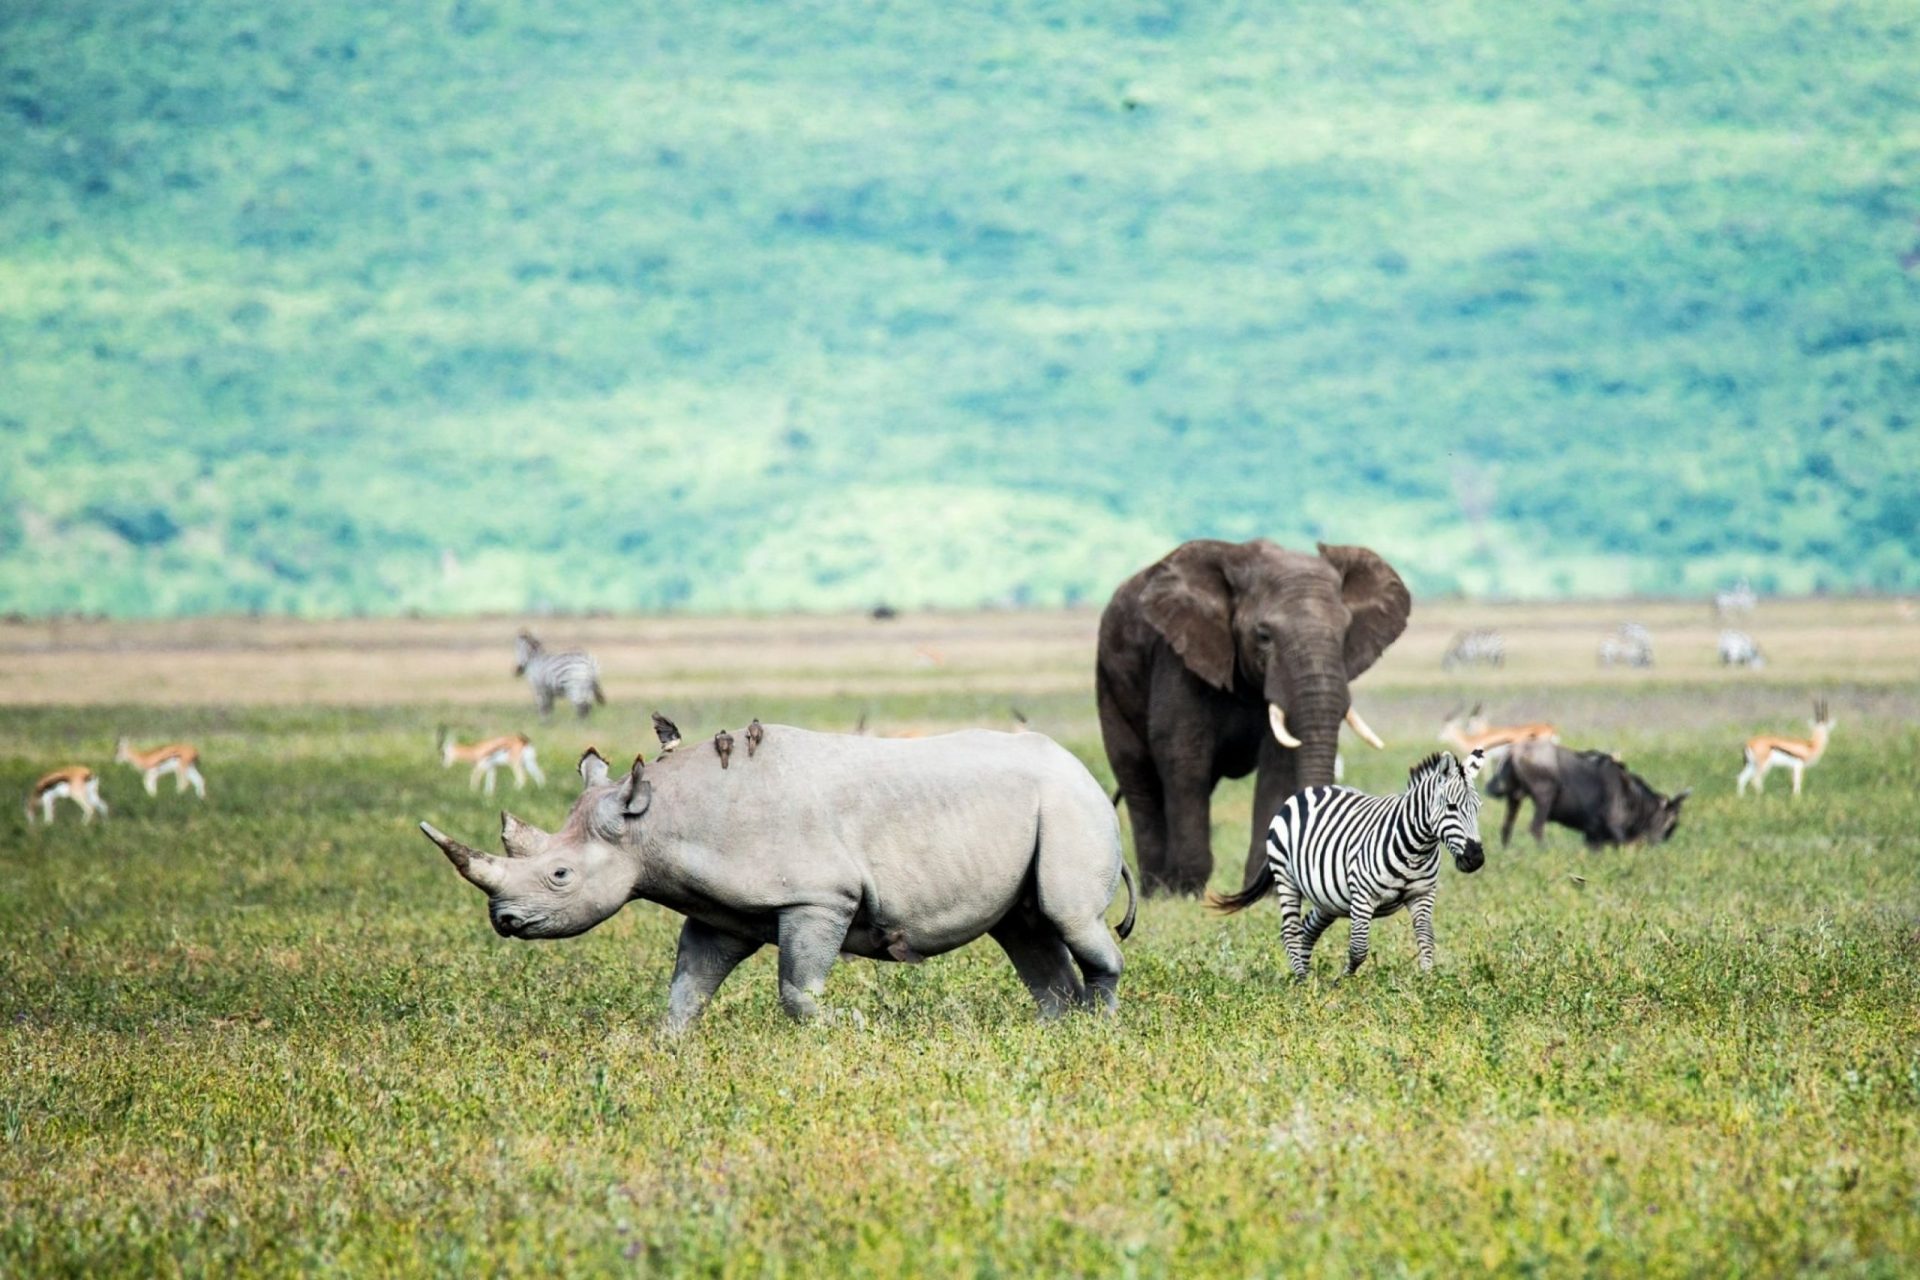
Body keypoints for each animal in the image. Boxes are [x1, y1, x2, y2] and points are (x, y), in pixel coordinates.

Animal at [1098, 537, 1413, 890]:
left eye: (1346, 634)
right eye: (1263, 636)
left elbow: (1278, 765)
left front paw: (1265, 889)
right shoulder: (1177, 656)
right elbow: (1183, 754)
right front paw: (1187, 890)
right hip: (1109, 681)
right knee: (1139, 777)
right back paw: (1157, 891)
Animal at [1205, 744, 1489, 974]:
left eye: (1478, 809)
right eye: (1451, 807)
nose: (1475, 858)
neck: (1416, 848)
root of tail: (1306, 792)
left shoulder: (1422, 896)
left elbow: (1427, 939)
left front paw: (1428, 983)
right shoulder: (1363, 898)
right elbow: (1359, 949)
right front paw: (1341, 983)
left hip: (1328, 898)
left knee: (1308, 929)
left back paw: (1307, 977)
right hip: (1287, 879)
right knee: (1291, 931)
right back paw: (1301, 982)